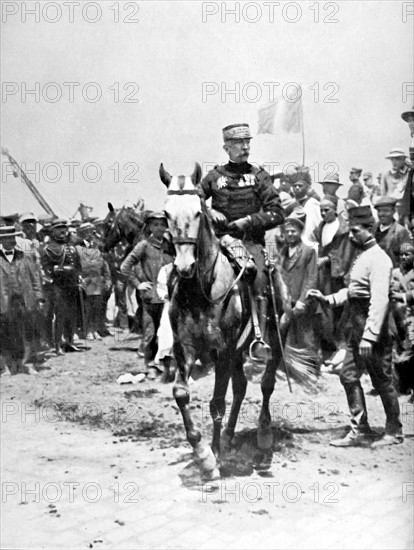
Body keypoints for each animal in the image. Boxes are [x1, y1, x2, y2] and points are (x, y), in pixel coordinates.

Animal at [158, 162, 288, 480]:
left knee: (266, 385)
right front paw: (203, 451)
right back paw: (229, 436)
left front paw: (212, 456)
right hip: (238, 354)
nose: (184, 266)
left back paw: (263, 442)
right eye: (166, 214)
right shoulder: (186, 349)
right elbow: (181, 393)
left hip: (274, 339)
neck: (200, 292)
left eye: (198, 212)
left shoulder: (223, 352)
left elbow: (217, 402)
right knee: (241, 389)